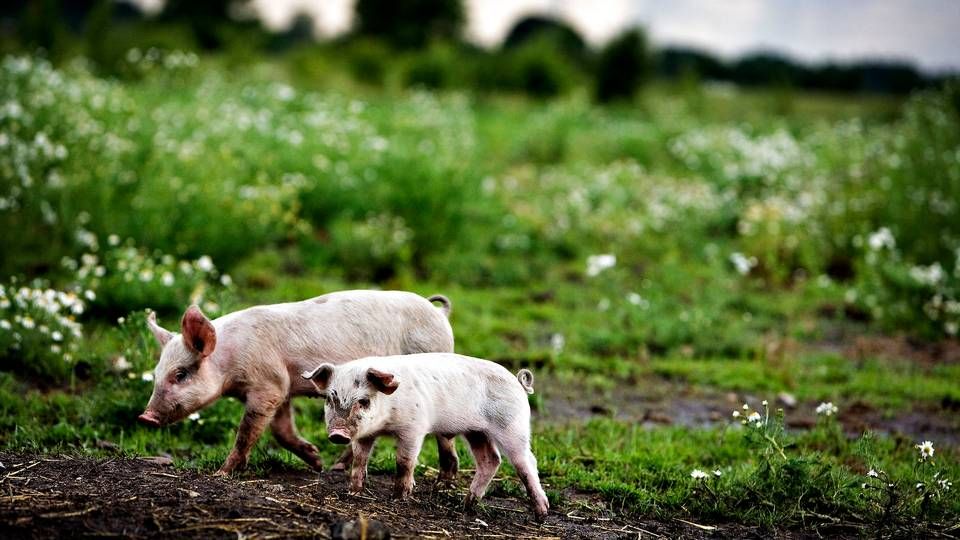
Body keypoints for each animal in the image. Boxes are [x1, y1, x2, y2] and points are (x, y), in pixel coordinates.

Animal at [136, 288, 462, 474]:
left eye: (180, 374)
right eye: (156, 373)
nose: (145, 417)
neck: (230, 361)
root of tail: (440, 313)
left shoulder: (268, 383)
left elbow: (247, 431)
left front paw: (221, 474)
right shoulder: (282, 387)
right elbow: (281, 431)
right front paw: (315, 461)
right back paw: (335, 467)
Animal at [304, 350, 552, 520]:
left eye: (363, 401)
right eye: (330, 398)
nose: (338, 434)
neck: (386, 423)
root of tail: (518, 382)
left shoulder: (414, 428)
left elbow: (404, 462)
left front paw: (399, 497)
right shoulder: (365, 435)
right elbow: (359, 460)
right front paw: (354, 493)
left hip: (513, 427)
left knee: (527, 462)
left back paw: (541, 514)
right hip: (477, 432)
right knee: (490, 460)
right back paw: (466, 505)